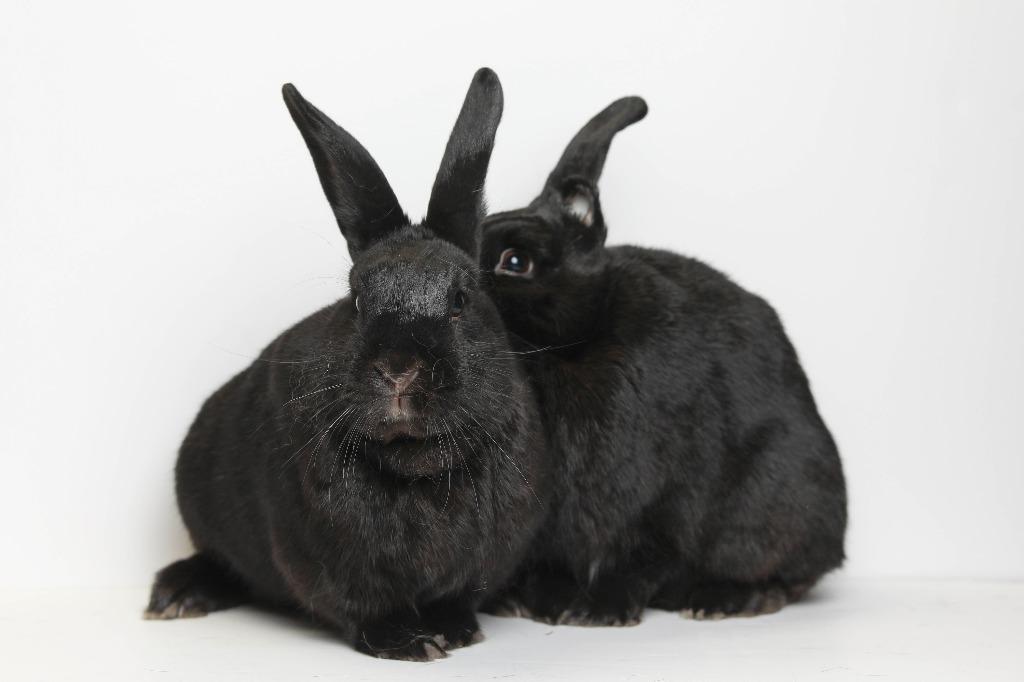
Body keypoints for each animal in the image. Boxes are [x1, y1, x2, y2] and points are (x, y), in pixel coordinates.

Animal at [144, 68, 550, 661]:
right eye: (357, 299)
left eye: (461, 299)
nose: (399, 369)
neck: (415, 462)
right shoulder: (328, 562)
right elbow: (362, 608)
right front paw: (409, 643)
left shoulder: (484, 556)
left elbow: (455, 597)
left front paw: (453, 631)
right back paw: (177, 595)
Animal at [478, 96, 847, 626]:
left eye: (515, 262)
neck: (571, 351)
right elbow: (554, 562)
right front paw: (542, 604)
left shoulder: (666, 497)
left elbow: (643, 558)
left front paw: (601, 612)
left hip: (785, 495)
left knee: (791, 571)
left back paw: (727, 599)